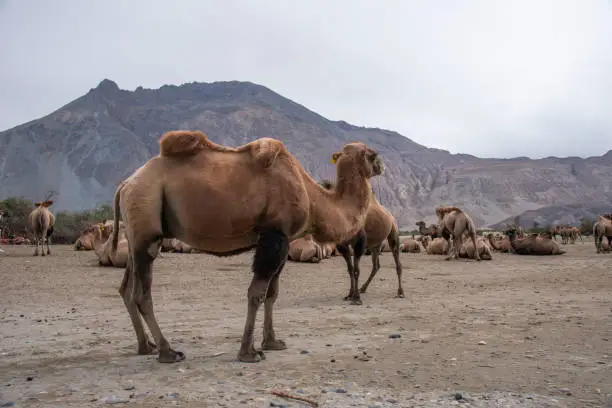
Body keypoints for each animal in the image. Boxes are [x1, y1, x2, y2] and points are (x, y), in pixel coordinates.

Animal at [110, 130, 382, 364]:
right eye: (372, 153)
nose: (382, 165)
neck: (312, 197)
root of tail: (124, 184)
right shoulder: (274, 234)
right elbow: (256, 293)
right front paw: (249, 352)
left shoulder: (284, 239)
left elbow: (272, 293)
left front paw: (272, 342)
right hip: (146, 216)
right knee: (142, 294)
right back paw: (168, 351)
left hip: (137, 234)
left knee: (127, 289)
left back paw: (146, 346)